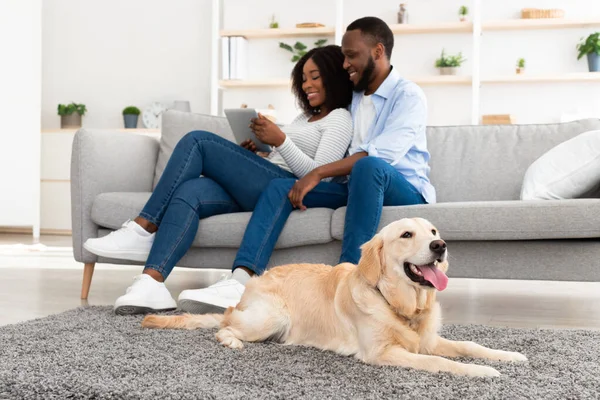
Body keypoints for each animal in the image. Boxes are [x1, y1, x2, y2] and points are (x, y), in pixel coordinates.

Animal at [142, 217, 524, 376]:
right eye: (406, 235)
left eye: (432, 232)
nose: (440, 245)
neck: (401, 304)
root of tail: (253, 283)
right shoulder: (383, 353)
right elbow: (441, 363)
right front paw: (482, 372)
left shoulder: (428, 340)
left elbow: (469, 346)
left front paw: (508, 356)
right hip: (271, 316)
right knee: (225, 323)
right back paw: (231, 339)